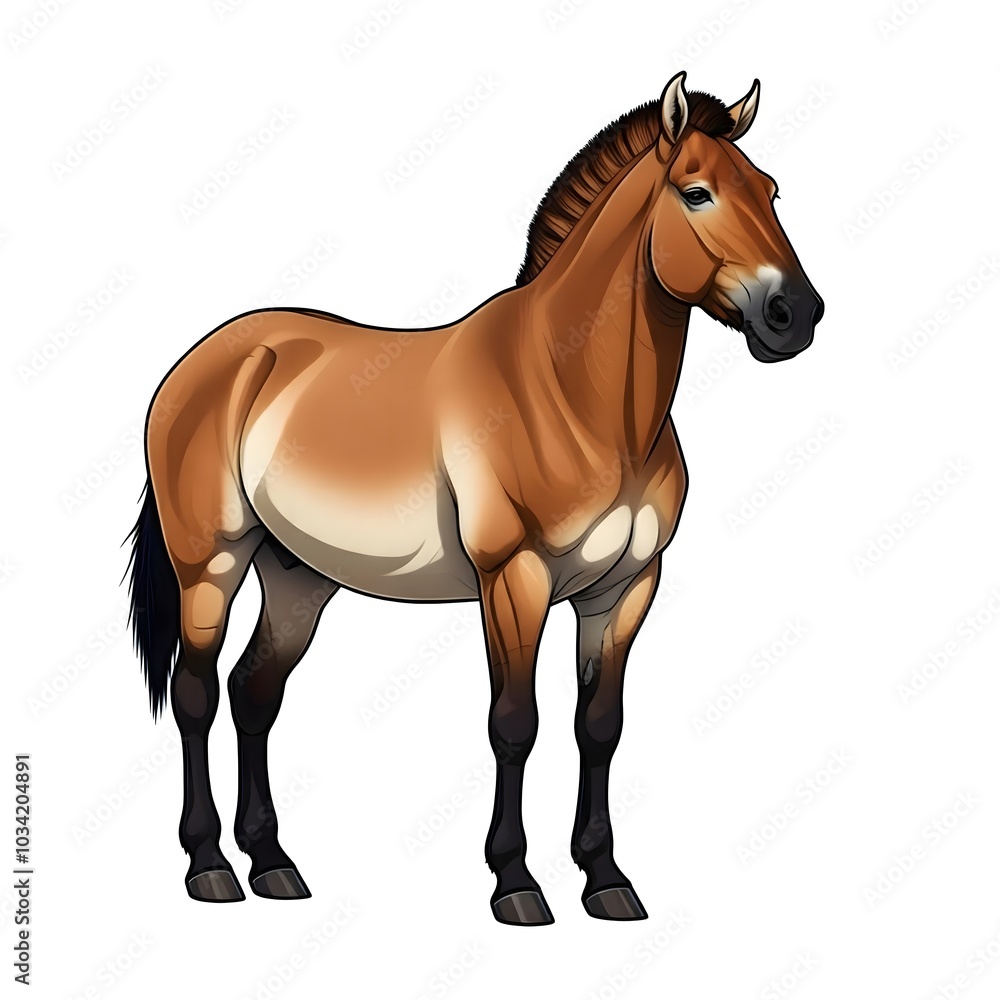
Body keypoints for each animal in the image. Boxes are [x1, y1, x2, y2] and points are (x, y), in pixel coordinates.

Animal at [127, 71, 824, 925]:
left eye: (770, 190)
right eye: (696, 192)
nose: (796, 315)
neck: (574, 395)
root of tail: (208, 360)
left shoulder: (626, 588)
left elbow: (600, 726)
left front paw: (606, 879)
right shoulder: (513, 579)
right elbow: (514, 724)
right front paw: (516, 882)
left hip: (297, 577)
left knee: (254, 693)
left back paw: (274, 865)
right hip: (211, 565)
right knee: (195, 694)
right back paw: (210, 868)